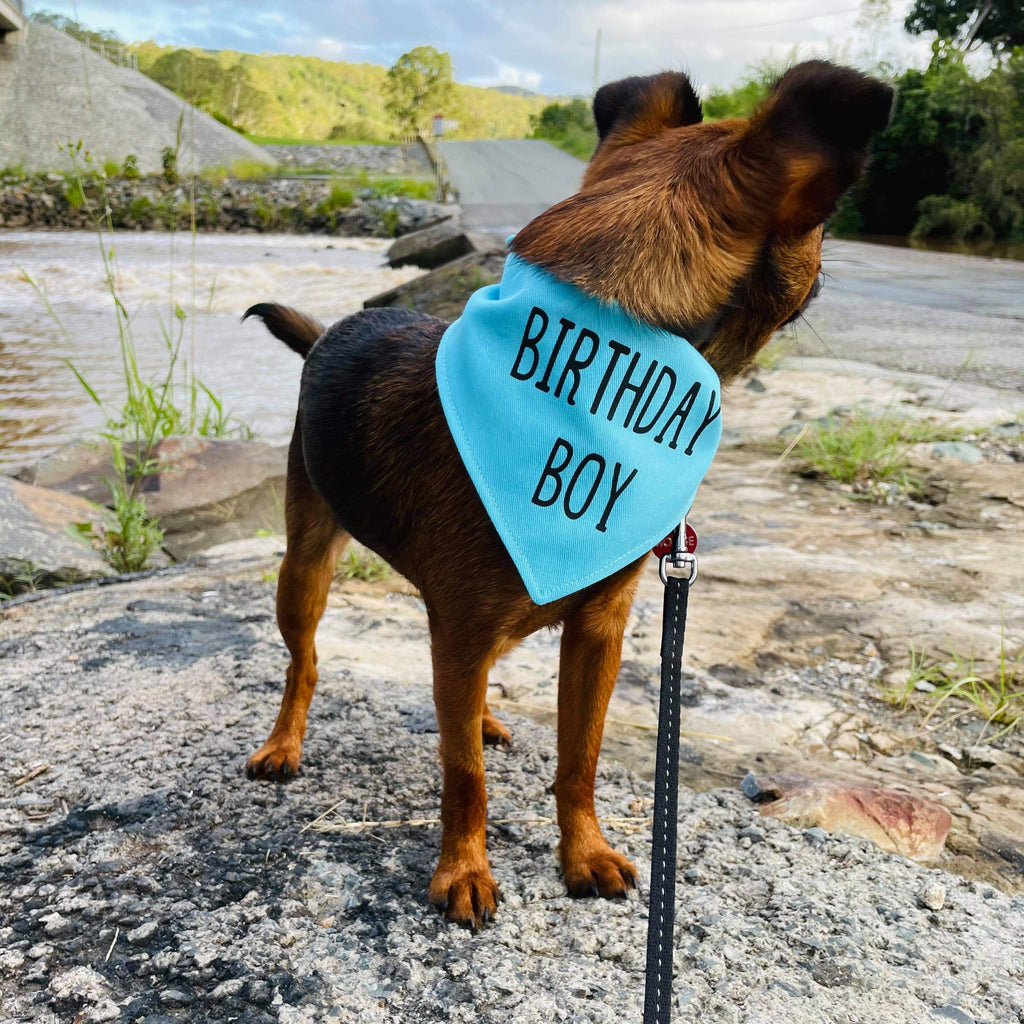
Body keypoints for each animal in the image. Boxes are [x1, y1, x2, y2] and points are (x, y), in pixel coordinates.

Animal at [243, 61, 892, 929]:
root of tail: (324, 337)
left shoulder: (597, 633)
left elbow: (578, 756)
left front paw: (582, 851)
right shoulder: (464, 630)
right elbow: (463, 779)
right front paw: (464, 869)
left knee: (454, 690)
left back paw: (480, 717)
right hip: (305, 565)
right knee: (305, 661)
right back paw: (286, 743)